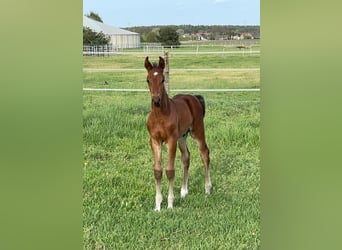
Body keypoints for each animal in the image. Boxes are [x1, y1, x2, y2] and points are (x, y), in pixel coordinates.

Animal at [144, 56, 211, 211]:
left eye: (163, 79)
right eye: (148, 79)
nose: (156, 100)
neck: (160, 116)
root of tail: (193, 97)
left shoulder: (171, 140)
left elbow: (169, 170)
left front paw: (170, 204)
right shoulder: (154, 141)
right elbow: (157, 171)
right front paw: (157, 205)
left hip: (197, 131)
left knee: (204, 153)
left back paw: (207, 188)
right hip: (182, 136)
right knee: (186, 157)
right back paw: (184, 191)